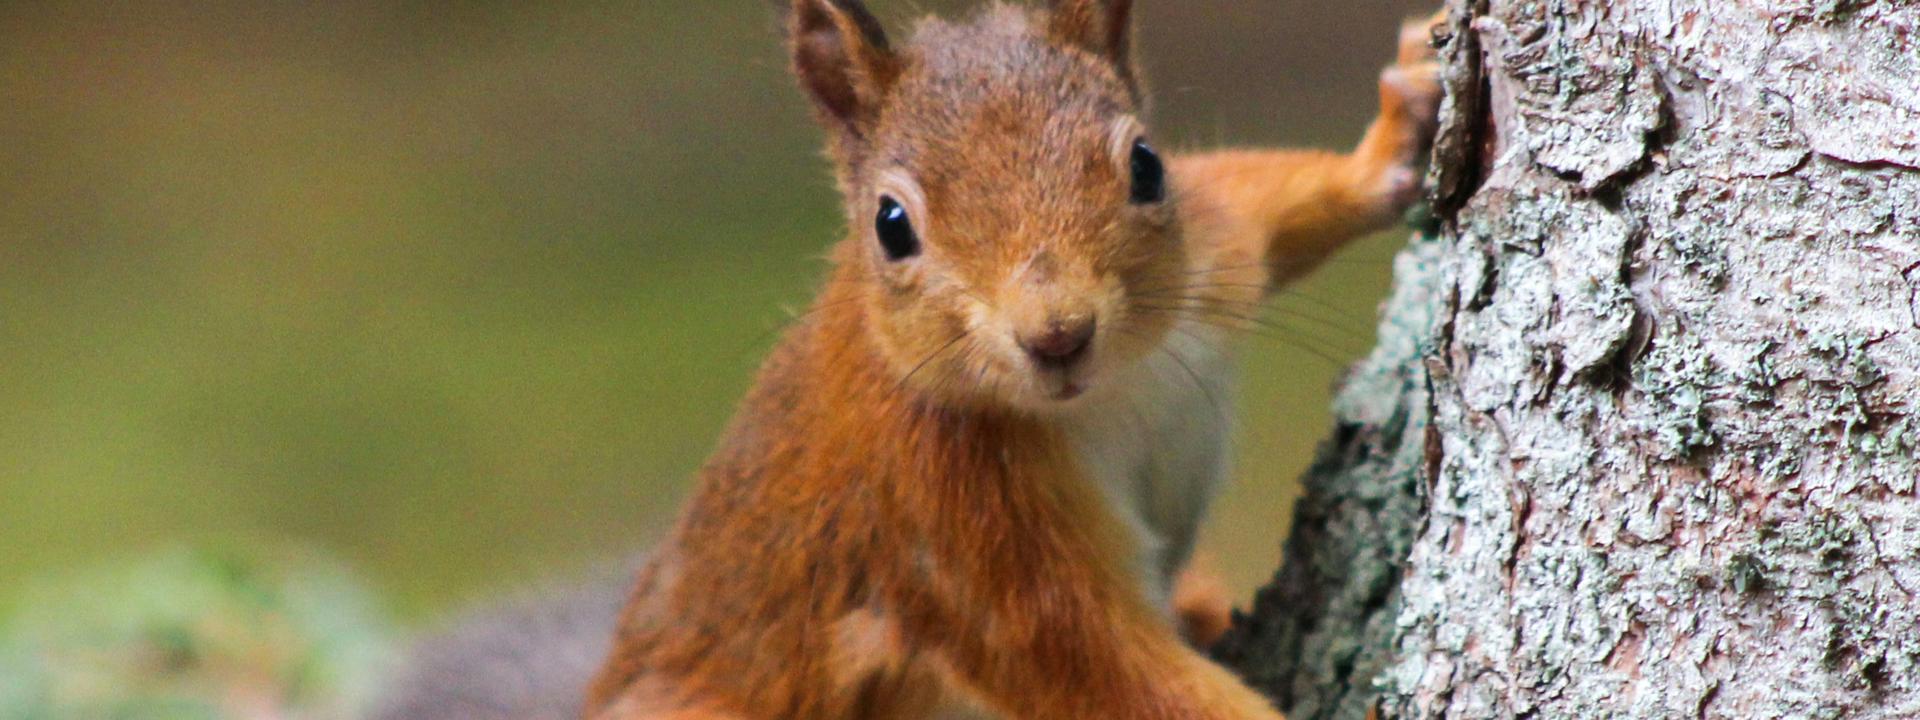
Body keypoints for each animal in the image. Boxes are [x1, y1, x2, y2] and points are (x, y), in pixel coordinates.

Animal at [371, 2, 1442, 719]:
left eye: (1146, 166)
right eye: (892, 226)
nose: (1057, 334)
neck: (1105, 395)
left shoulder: (1214, 252)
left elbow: (1264, 196)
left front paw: (1397, 129)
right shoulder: (964, 535)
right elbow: (1106, 670)